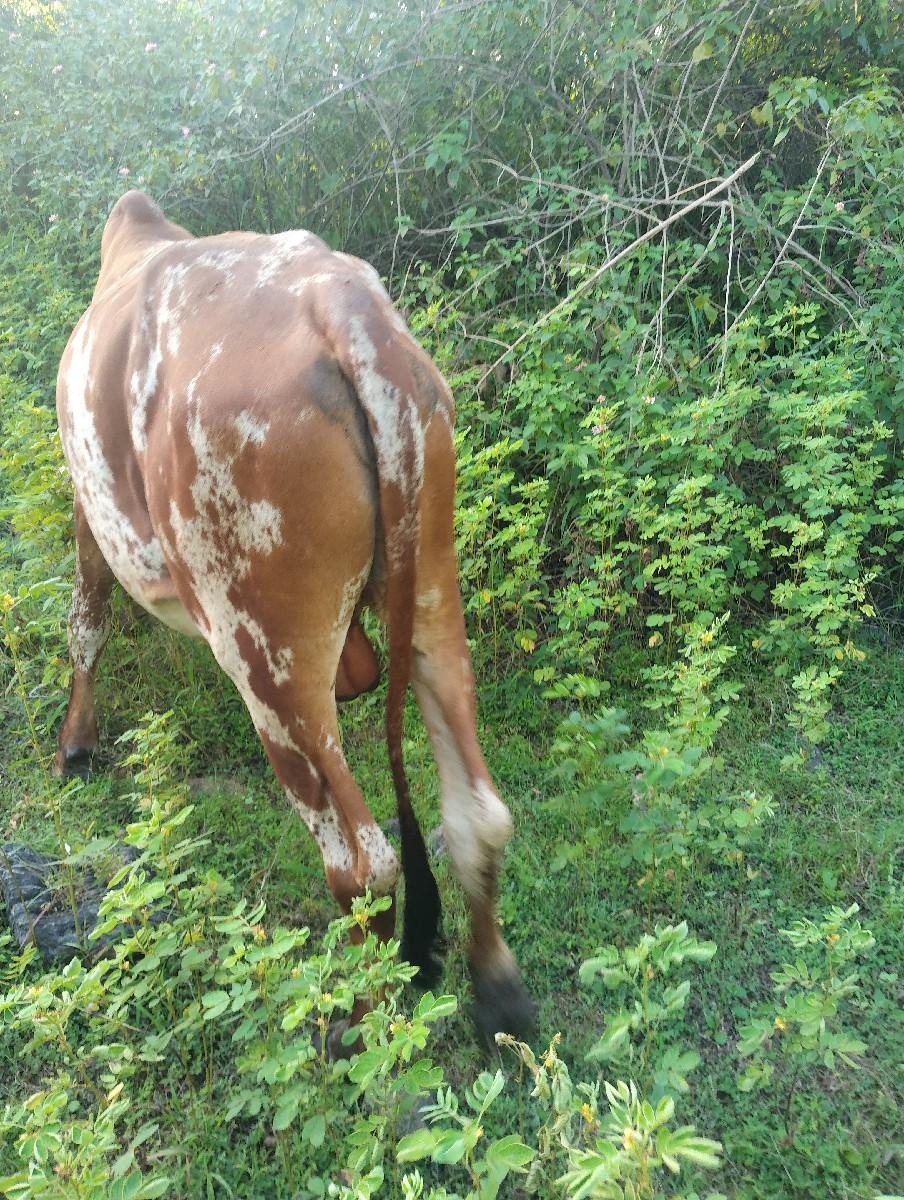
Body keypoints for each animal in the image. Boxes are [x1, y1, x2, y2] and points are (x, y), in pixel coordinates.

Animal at [54, 191, 533, 1043]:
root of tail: (344, 310)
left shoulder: (86, 506)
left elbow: (86, 618)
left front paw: (75, 742)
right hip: (431, 587)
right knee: (477, 812)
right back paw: (497, 990)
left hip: (266, 654)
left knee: (362, 862)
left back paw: (365, 1032)